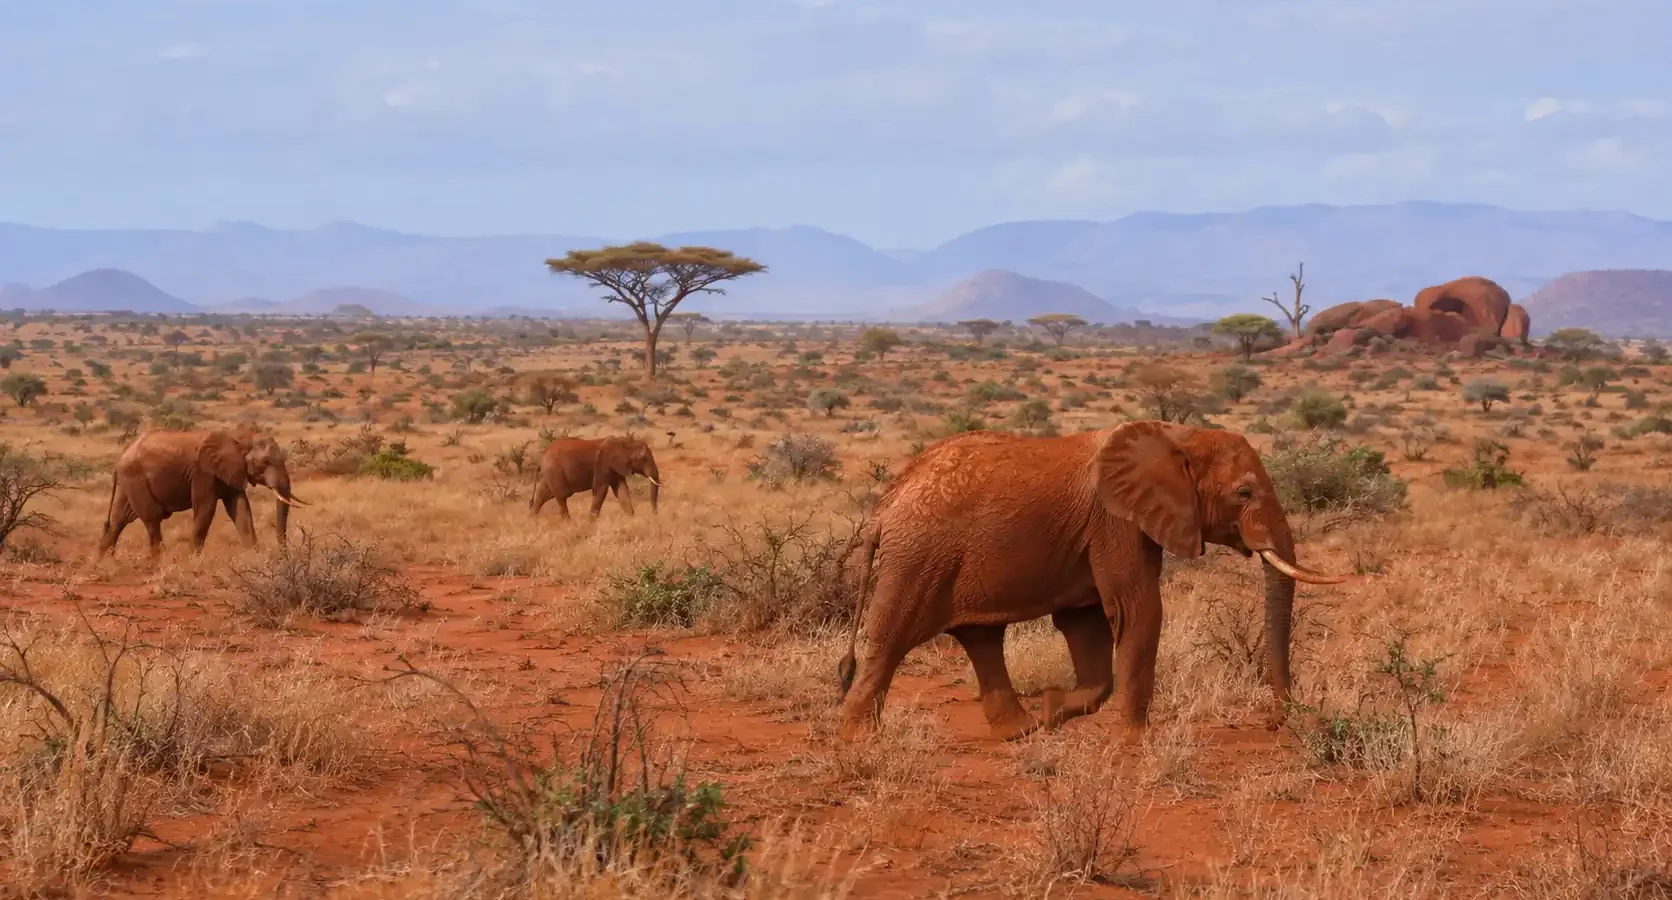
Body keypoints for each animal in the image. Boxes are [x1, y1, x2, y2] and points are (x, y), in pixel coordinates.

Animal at [97, 428, 309, 558]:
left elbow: (240, 508)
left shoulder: (231, 471)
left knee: (119, 520)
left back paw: (104, 561)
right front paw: (193, 558)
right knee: (152, 518)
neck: (239, 438)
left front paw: (254, 555)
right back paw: (159, 561)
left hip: (128, 483)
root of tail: (119, 459)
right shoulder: (203, 473)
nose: (283, 556)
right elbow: (205, 509)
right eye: (265, 462)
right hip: (136, 479)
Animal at [530, 436, 661, 519]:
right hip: (554, 470)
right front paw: (591, 522)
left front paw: (631, 519)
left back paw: (533, 520)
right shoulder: (603, 465)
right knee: (561, 496)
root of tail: (542, 456)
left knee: (544, 494)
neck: (624, 442)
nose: (654, 514)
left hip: (550, 473)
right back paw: (568, 523)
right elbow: (600, 490)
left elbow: (622, 491)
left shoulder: (615, 468)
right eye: (643, 458)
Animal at [835, 422, 1351, 745]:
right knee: (892, 638)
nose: (1278, 722)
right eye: (1244, 493)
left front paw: (1054, 712)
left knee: (980, 637)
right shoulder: (1116, 522)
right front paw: (1133, 742)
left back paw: (1020, 732)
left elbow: (1084, 624)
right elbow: (1138, 610)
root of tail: (883, 509)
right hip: (919, 559)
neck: (1175, 435)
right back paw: (859, 739)